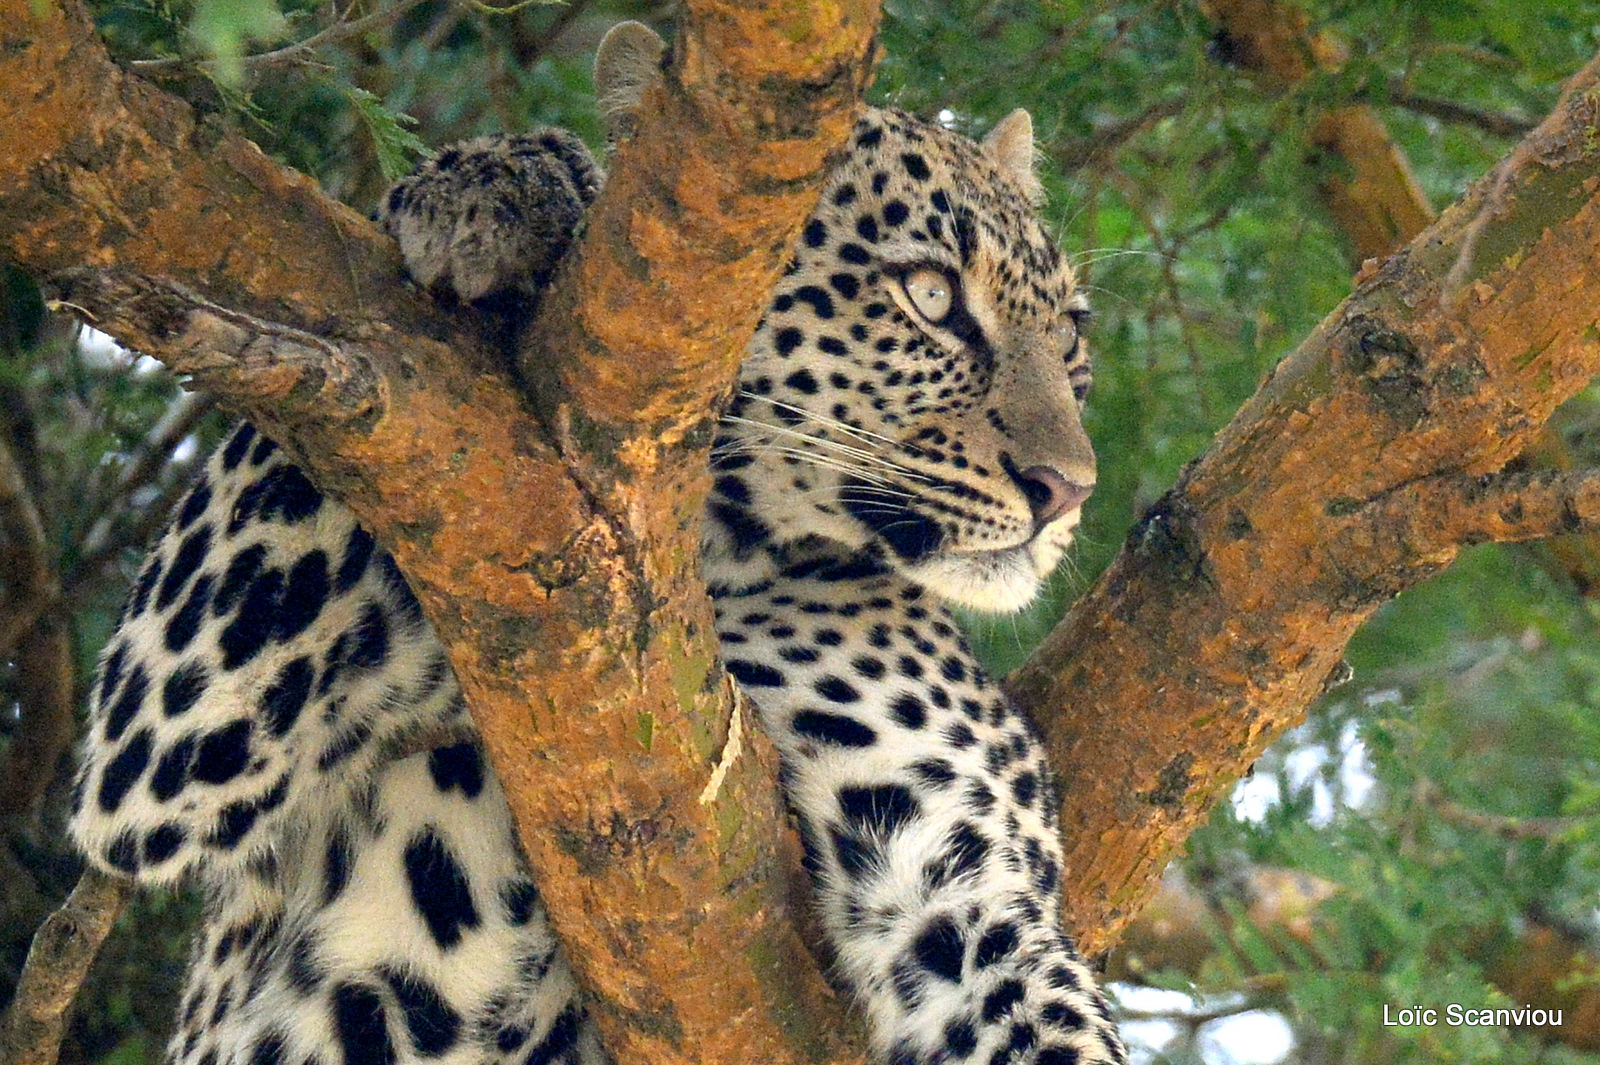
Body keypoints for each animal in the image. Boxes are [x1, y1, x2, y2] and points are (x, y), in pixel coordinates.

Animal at [68, 18, 1126, 1061]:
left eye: (1069, 334)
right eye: (929, 295)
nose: (1069, 488)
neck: (714, 557)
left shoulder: (970, 890)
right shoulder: (164, 746)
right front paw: (509, 189)